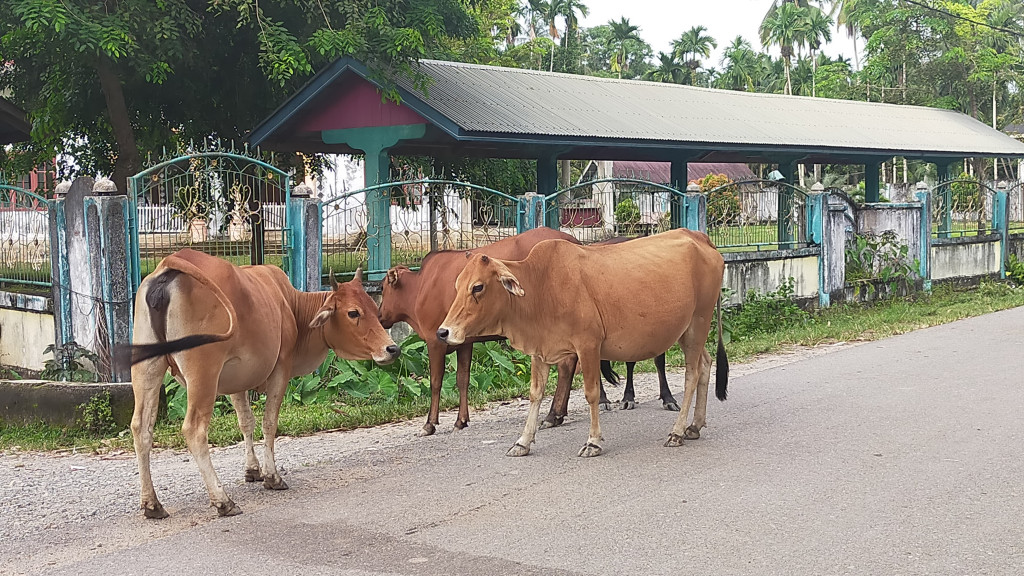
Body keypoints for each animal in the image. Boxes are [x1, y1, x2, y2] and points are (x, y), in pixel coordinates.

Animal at [125, 249, 397, 518]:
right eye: (353, 313)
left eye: (374, 308)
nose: (392, 349)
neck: (292, 306)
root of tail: (171, 263)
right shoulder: (281, 369)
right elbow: (269, 423)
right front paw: (271, 476)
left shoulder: (236, 379)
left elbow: (246, 422)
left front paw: (252, 470)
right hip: (203, 375)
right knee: (194, 430)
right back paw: (223, 501)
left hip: (146, 369)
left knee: (141, 428)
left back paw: (152, 504)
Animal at [436, 228, 724, 457]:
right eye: (458, 285)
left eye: (478, 287)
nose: (443, 332)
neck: (541, 287)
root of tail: (700, 237)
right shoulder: (540, 351)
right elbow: (535, 395)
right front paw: (523, 441)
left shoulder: (588, 346)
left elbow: (591, 393)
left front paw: (593, 442)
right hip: (686, 331)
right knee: (706, 364)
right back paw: (694, 426)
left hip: (698, 322)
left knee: (691, 374)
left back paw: (677, 431)